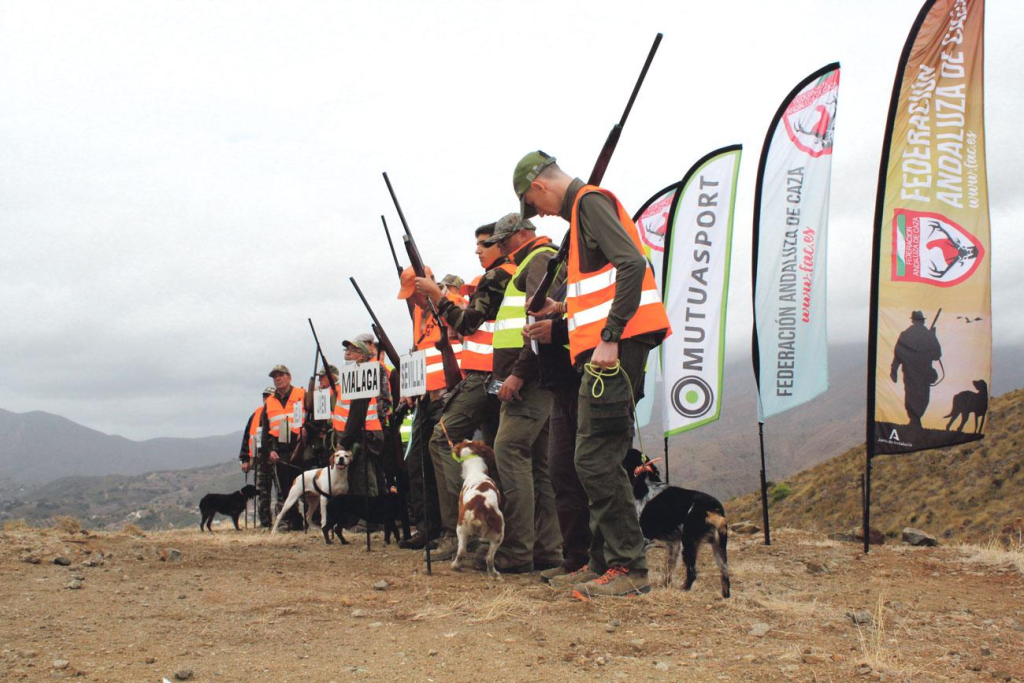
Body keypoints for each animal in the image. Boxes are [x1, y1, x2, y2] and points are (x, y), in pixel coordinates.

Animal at [454, 440, 505, 581]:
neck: (476, 471)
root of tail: (479, 508)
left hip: (460, 528)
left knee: (461, 550)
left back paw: (455, 565)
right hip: (499, 534)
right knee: (489, 557)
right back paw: (494, 573)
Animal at [618, 448, 733, 598]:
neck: (646, 484)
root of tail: (713, 509)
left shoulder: (645, 538)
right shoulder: (673, 544)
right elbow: (669, 567)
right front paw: (664, 585)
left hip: (689, 543)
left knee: (693, 572)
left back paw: (683, 589)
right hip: (718, 545)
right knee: (724, 571)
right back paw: (724, 596)